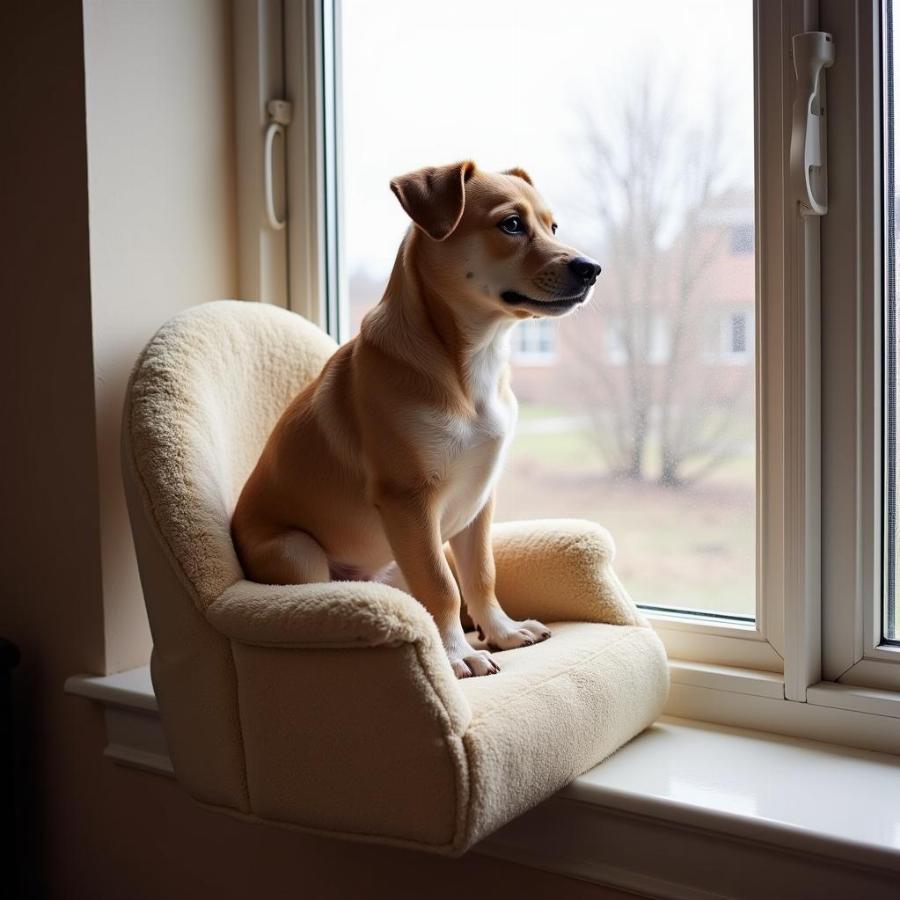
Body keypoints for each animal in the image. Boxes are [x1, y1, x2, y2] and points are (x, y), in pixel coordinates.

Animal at [229, 163, 600, 684]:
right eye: (511, 225)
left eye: (553, 226)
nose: (592, 268)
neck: (472, 364)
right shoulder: (410, 501)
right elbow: (442, 587)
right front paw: (457, 656)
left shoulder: (479, 501)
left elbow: (480, 574)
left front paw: (501, 632)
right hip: (295, 551)